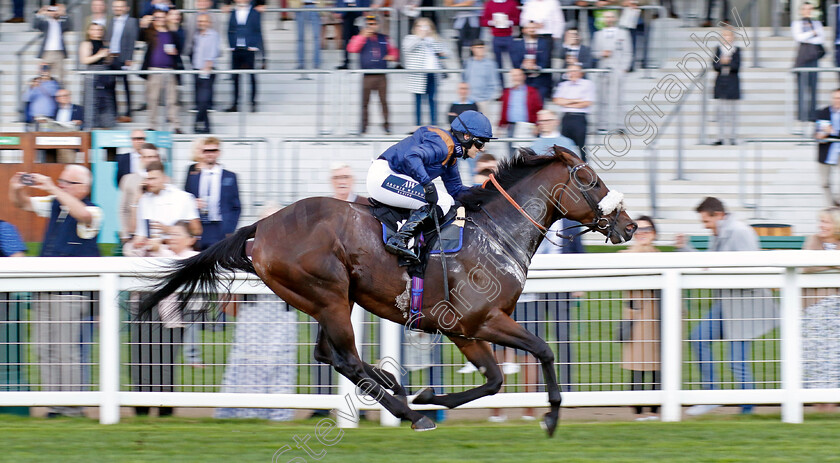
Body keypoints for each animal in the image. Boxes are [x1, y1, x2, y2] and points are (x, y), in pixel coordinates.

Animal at [141, 147, 632, 436]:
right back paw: (407, 410)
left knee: (329, 354)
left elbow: (493, 380)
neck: (496, 234)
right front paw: (551, 415)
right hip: (329, 294)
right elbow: (543, 350)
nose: (628, 226)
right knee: (345, 357)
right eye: (590, 180)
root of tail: (260, 228)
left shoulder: (465, 330)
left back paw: (396, 388)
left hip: (327, 299)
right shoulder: (483, 320)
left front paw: (430, 396)